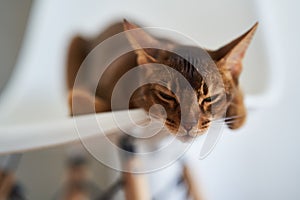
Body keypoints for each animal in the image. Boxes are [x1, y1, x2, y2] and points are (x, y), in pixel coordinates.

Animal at [67, 18, 258, 141]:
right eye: (167, 95)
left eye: (210, 98)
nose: (189, 125)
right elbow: (81, 102)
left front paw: (239, 113)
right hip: (74, 40)